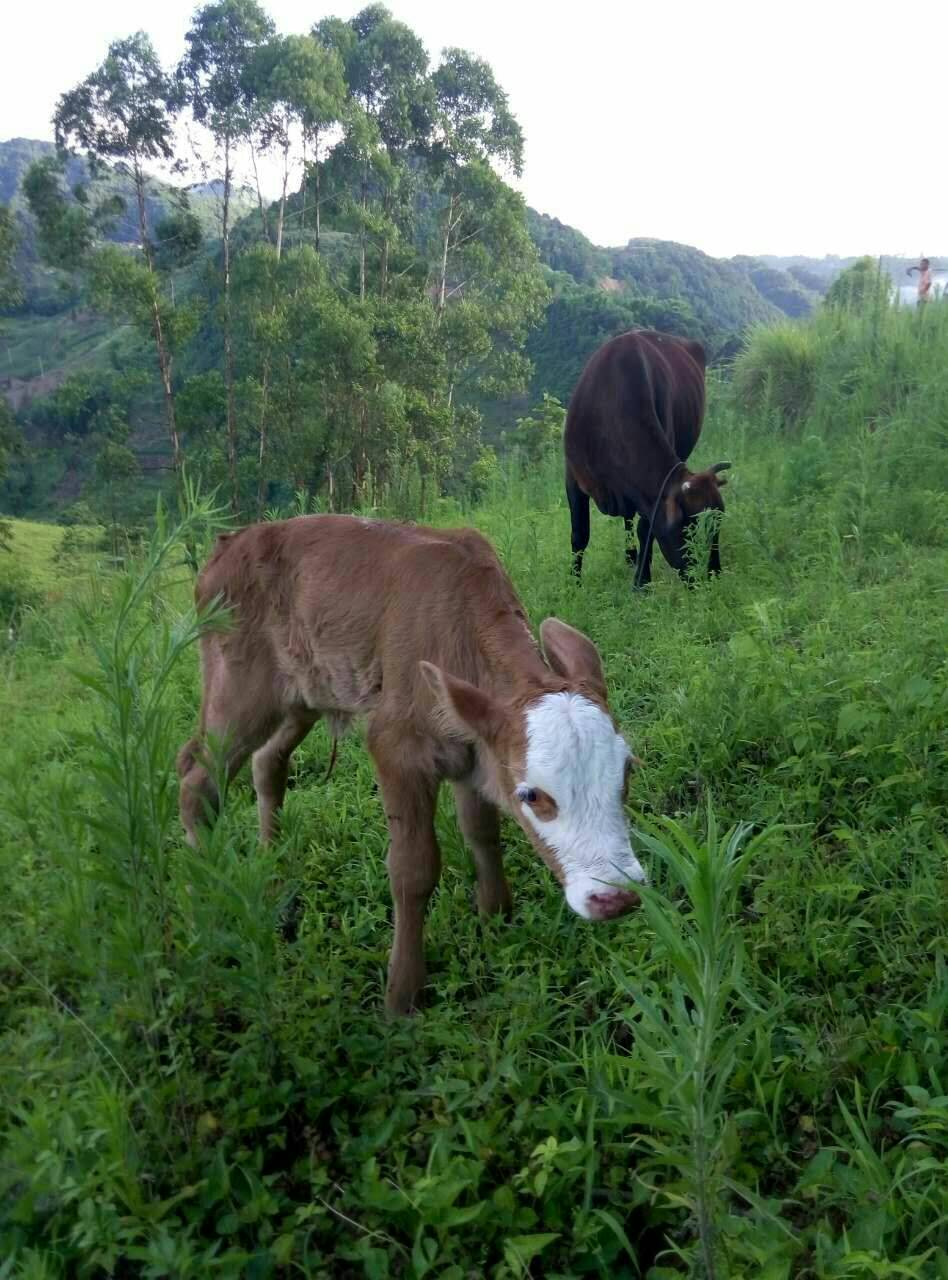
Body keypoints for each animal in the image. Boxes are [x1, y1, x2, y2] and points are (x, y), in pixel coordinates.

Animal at [177, 514, 647, 1013]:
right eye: (532, 795)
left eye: (626, 774)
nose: (617, 898)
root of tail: (232, 541)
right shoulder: (396, 745)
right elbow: (413, 868)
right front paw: (402, 994)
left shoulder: (472, 745)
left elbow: (482, 833)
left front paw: (496, 918)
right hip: (239, 684)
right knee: (196, 780)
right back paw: (201, 899)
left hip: (304, 690)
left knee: (267, 762)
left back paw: (273, 868)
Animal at [565, 332, 726, 586]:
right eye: (692, 528)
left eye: (718, 526)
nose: (713, 575)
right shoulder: (573, 476)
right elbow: (579, 533)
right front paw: (574, 583)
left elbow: (646, 530)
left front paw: (642, 580)